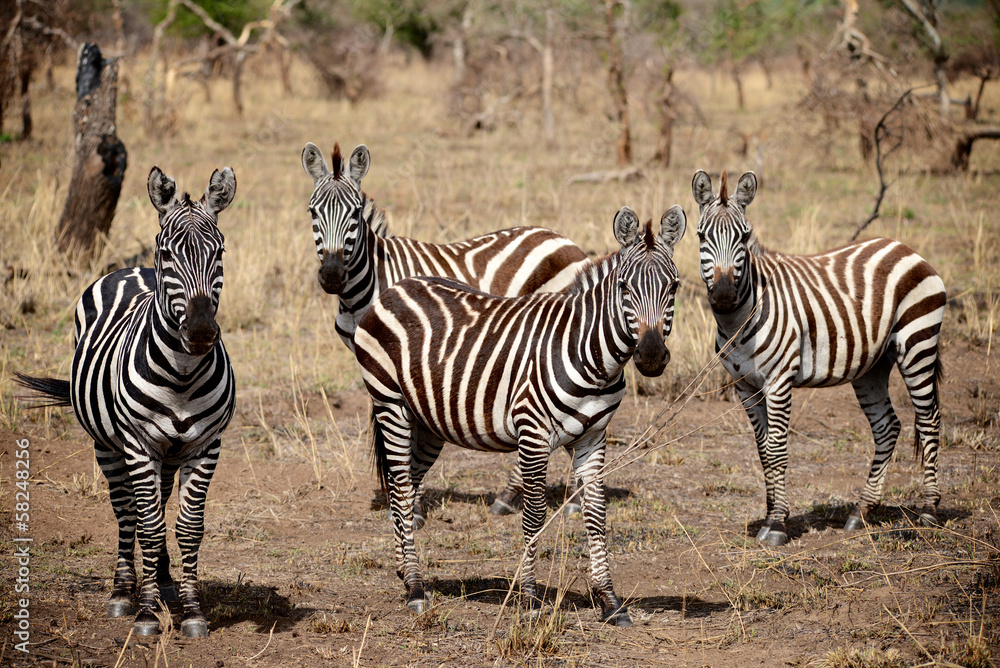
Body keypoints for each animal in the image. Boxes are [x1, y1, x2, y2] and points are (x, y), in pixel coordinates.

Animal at [15, 166, 237, 637]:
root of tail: (133, 268)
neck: (182, 374)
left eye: (220, 252)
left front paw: (191, 610)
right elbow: (148, 525)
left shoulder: (206, 446)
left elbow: (188, 527)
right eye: (167, 254)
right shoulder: (137, 444)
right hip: (108, 445)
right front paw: (147, 613)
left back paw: (165, 580)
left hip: (168, 453)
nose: (201, 332)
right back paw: (123, 592)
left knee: (157, 502)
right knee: (126, 510)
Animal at [302, 141, 590, 521]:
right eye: (312, 212)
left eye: (355, 214)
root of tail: (564, 240)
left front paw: (411, 502)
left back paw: (533, 497)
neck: (367, 284)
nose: (332, 276)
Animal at [354, 204, 687, 625]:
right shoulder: (533, 434)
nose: (652, 356)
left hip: (427, 421)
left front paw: (610, 601)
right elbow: (533, 515)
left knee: (408, 489)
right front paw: (529, 598)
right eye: (624, 287)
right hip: (390, 403)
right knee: (398, 490)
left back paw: (403, 571)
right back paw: (415, 587)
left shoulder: (593, 438)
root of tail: (396, 287)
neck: (593, 356)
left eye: (674, 287)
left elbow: (596, 516)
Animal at [691, 169, 945, 547]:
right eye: (701, 236)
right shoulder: (744, 386)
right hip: (872, 365)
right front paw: (770, 516)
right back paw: (861, 512)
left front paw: (777, 525)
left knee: (928, 420)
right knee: (887, 426)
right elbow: (763, 451)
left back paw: (928, 512)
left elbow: (777, 450)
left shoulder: (779, 381)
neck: (739, 319)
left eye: (745, 236)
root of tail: (904, 247)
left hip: (918, 342)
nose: (723, 296)